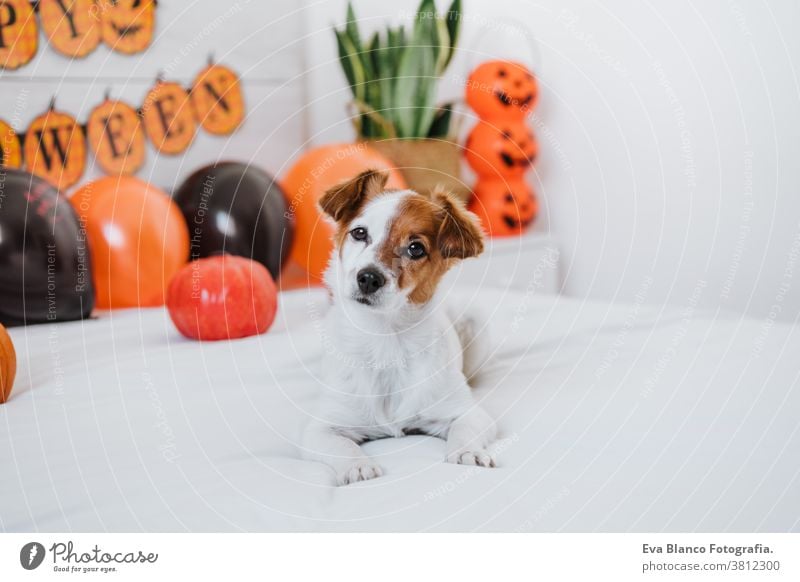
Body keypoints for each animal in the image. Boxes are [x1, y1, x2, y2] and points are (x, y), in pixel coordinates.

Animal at [304, 170, 496, 488]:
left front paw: (468, 452)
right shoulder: (319, 427)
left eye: (415, 248)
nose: (368, 278)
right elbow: (341, 446)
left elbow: (464, 430)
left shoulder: (467, 413)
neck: (385, 339)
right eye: (359, 233)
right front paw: (358, 466)